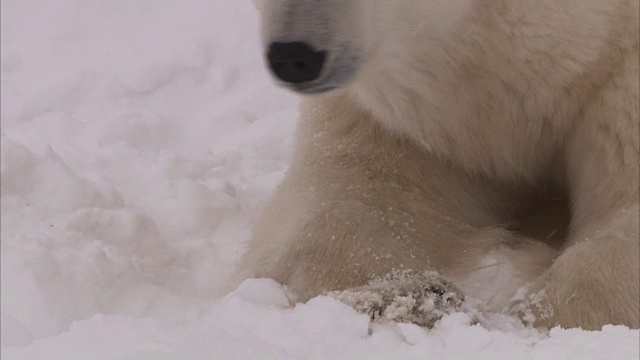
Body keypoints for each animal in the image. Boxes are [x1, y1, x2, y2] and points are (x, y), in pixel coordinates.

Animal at [232, 0, 636, 330]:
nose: (293, 56)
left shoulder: (615, 87)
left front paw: (533, 316)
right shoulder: (404, 124)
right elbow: (350, 205)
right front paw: (412, 297)